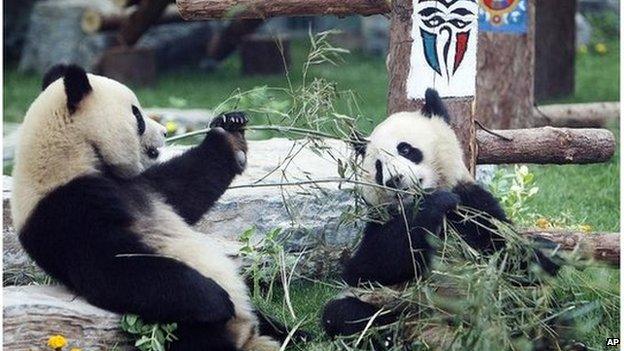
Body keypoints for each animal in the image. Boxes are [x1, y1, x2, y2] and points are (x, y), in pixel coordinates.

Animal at [12, 64, 290, 350]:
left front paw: (229, 130)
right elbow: (115, 267)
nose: (165, 132)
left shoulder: (137, 184)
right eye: (137, 115)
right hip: (187, 328)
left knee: (274, 324)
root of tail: (248, 337)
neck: (69, 156)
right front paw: (218, 299)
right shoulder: (63, 211)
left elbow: (184, 187)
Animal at [322, 89, 560, 346]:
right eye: (378, 166)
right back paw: (390, 337)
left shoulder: (474, 206)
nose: (393, 180)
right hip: (388, 302)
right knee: (345, 314)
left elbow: (509, 254)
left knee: (525, 302)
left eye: (405, 149)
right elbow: (366, 267)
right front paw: (433, 205)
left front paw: (545, 251)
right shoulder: (379, 221)